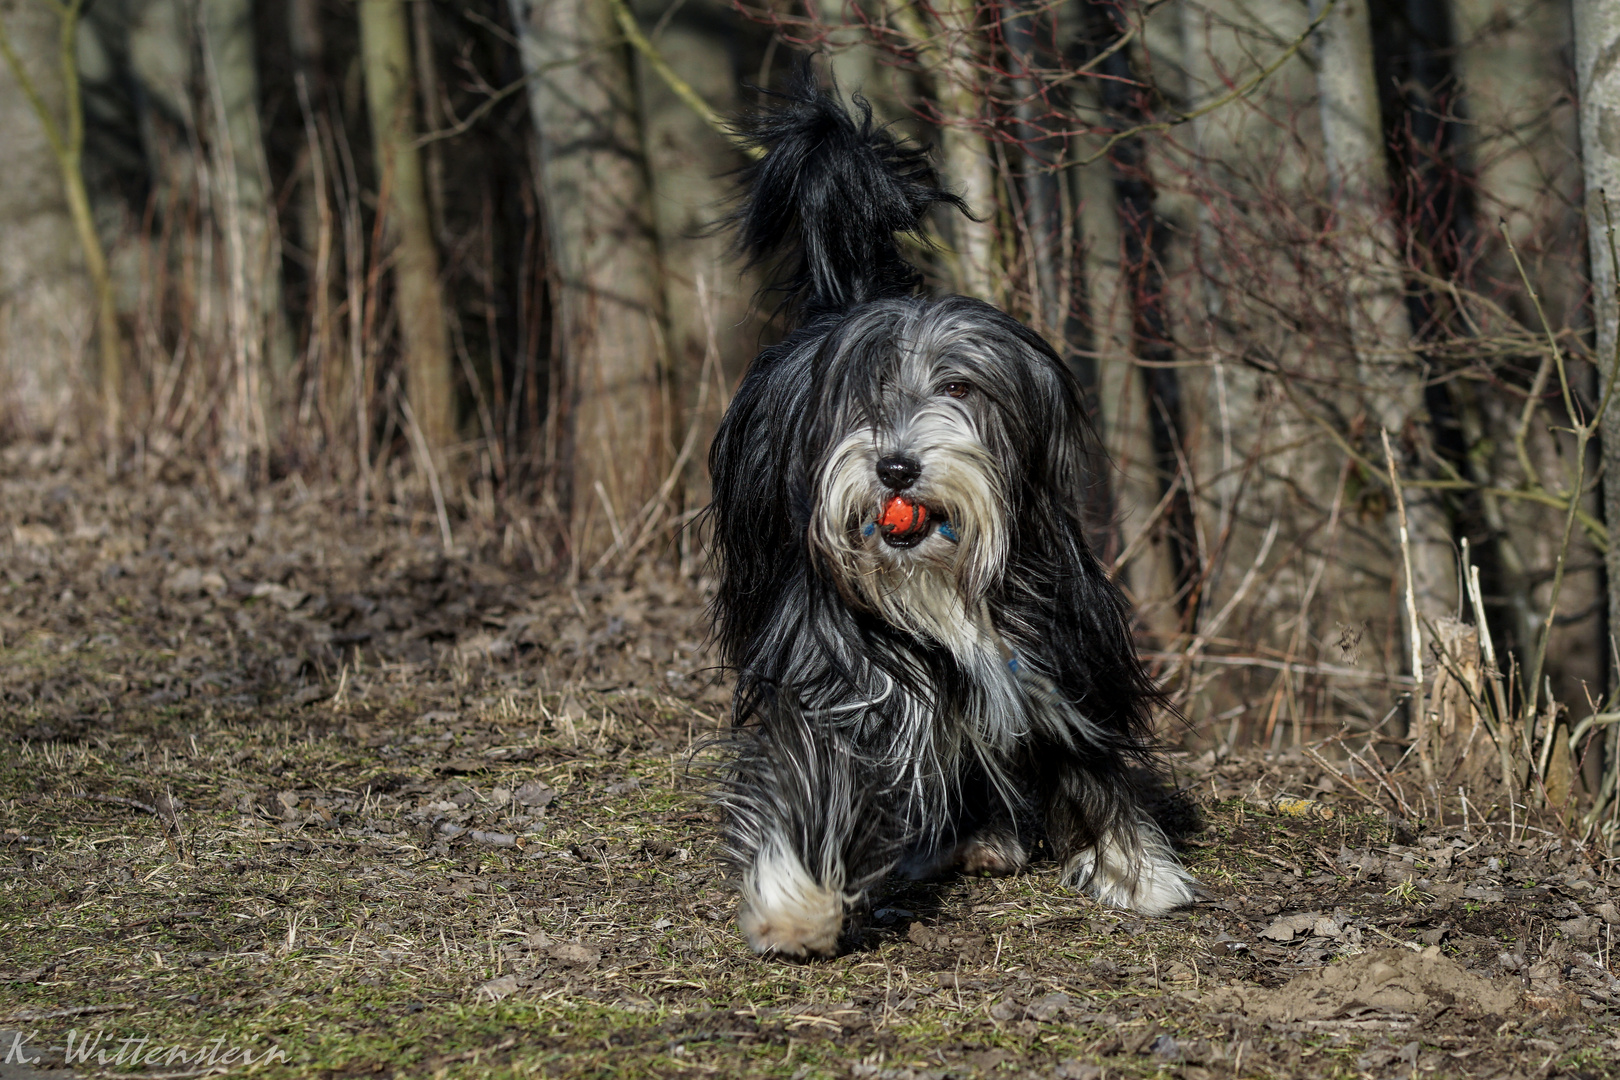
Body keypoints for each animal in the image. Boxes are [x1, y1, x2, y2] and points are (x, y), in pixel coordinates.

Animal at [703, 76, 1198, 958]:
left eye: (960, 388)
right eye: (864, 394)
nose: (896, 466)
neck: (940, 579)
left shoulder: (1053, 643)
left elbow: (1084, 755)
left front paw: (1137, 870)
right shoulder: (833, 666)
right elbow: (810, 769)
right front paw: (796, 903)